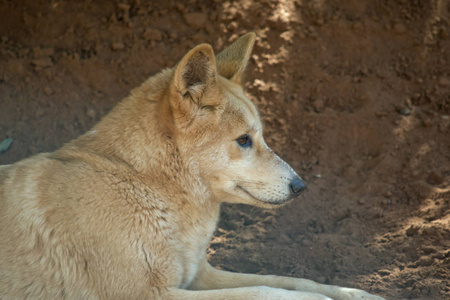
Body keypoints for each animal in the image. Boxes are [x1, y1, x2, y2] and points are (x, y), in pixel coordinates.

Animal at [0, 32, 384, 298]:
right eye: (244, 140)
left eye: (259, 136)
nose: (301, 186)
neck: (146, 186)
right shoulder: (150, 294)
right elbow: (269, 291)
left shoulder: (199, 274)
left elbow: (291, 280)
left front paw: (356, 294)